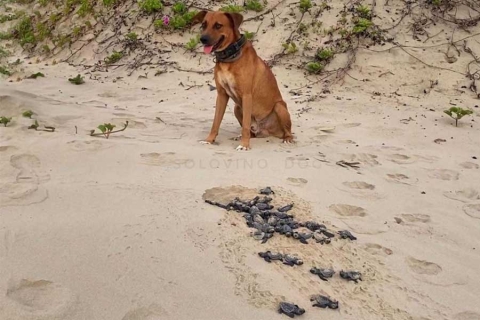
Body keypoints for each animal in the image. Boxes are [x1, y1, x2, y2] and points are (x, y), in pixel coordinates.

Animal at [191, 9, 292, 150]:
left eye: (218, 25)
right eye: (204, 25)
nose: (203, 39)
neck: (229, 57)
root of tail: (265, 131)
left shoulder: (246, 96)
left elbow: (245, 125)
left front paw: (244, 145)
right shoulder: (221, 95)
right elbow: (215, 122)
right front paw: (209, 140)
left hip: (279, 107)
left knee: (287, 131)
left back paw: (287, 139)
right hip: (237, 107)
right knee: (251, 132)